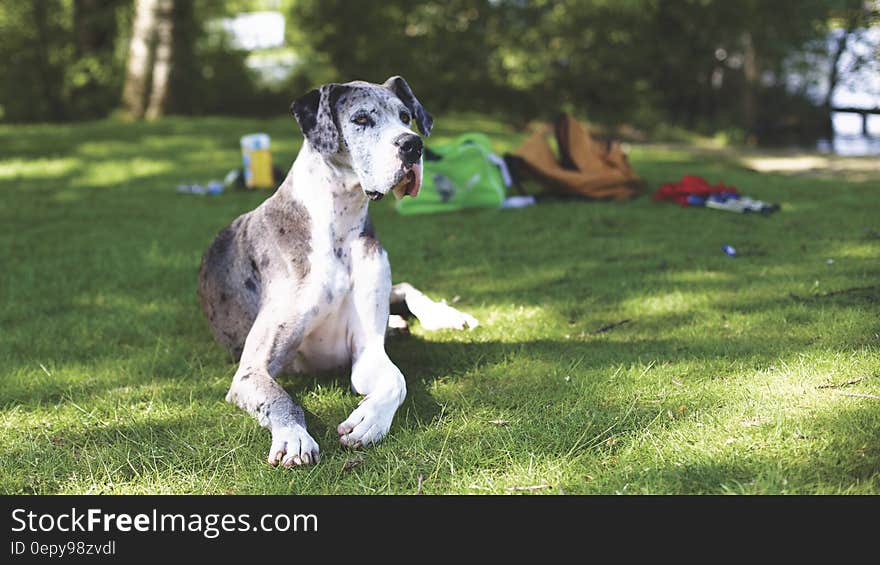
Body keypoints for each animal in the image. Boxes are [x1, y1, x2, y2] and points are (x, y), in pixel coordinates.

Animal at [197, 78, 478, 468]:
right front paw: (293, 437)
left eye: (405, 117)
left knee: (405, 287)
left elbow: (397, 380)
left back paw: (442, 316)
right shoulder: (252, 370)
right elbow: (281, 398)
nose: (413, 144)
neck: (339, 226)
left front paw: (369, 420)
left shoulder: (368, 352)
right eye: (360, 119)